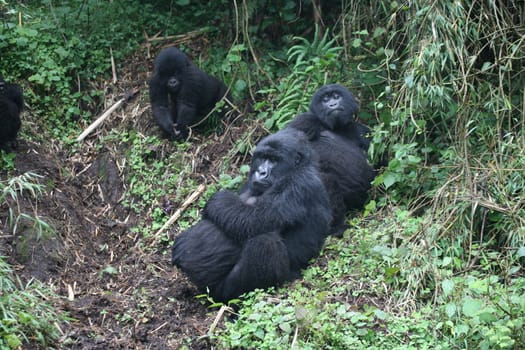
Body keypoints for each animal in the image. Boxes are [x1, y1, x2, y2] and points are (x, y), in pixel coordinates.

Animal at [170, 129, 330, 300]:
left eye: (274, 160)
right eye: (262, 157)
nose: (261, 172)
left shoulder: (299, 184)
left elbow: (254, 219)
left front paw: (216, 200)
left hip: (222, 291)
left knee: (264, 241)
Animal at [286, 83, 376, 237]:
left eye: (336, 96)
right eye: (325, 99)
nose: (332, 104)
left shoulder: (362, 130)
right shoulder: (304, 120)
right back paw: (336, 228)